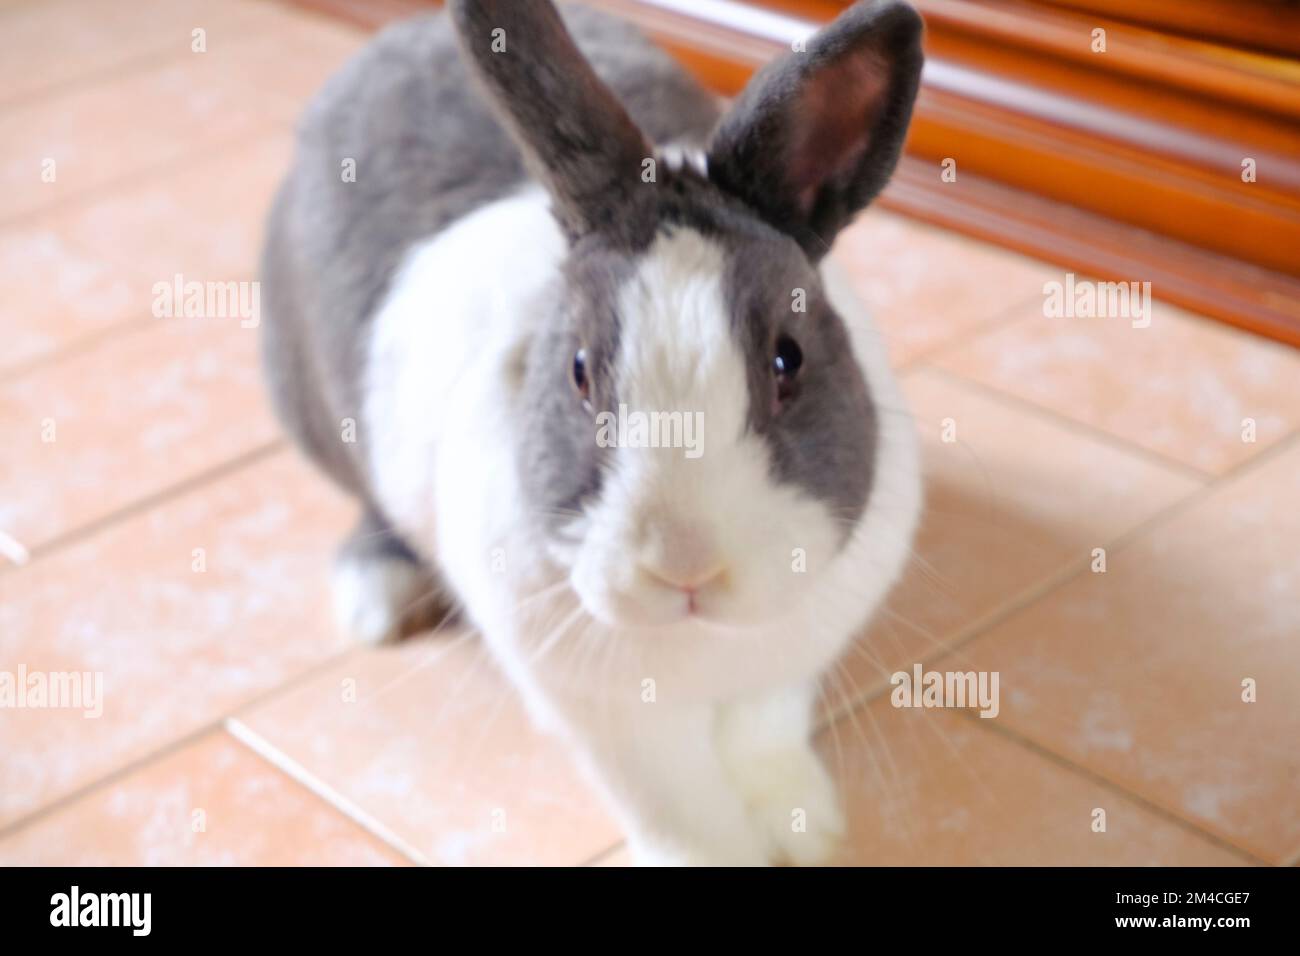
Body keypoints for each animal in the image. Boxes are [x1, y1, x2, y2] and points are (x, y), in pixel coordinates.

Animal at [260, 0, 925, 866]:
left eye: (790, 359)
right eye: (578, 371)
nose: (685, 566)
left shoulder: (783, 666)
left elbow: (762, 740)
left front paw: (803, 831)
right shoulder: (611, 720)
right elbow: (680, 806)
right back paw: (376, 601)